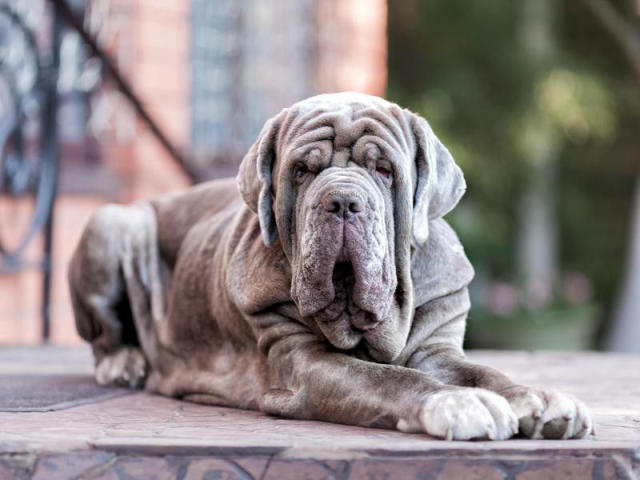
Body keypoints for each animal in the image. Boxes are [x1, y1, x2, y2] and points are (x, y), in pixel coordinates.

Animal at [67, 92, 592, 440]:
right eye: (302, 171)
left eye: (384, 171)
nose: (341, 201)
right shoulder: (302, 362)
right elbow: (388, 378)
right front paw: (457, 402)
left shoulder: (438, 349)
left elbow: (486, 373)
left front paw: (541, 399)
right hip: (115, 222)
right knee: (104, 335)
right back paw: (124, 362)